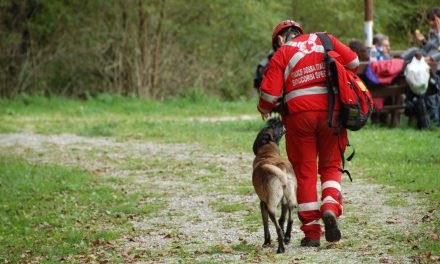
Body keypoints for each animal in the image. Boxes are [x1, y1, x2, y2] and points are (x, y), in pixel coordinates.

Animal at [253, 118, 298, 254]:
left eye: (271, 126)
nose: (278, 120)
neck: (268, 154)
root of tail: (281, 168)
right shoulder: (284, 202)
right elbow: (282, 219)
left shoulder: (262, 204)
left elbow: (266, 225)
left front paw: (267, 242)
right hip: (290, 200)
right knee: (290, 219)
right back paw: (287, 238)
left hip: (271, 206)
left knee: (277, 227)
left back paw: (280, 248)